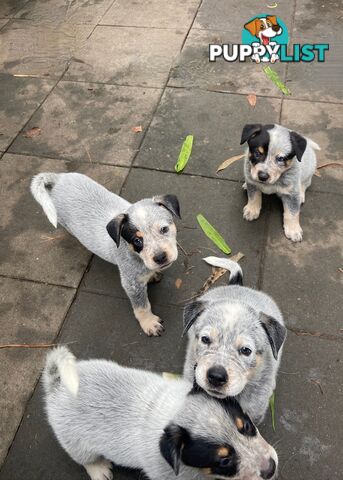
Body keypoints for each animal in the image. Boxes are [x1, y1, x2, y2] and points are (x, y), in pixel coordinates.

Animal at [31, 173, 181, 338]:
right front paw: (149, 323)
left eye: (164, 229)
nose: (160, 258)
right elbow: (142, 306)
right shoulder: (131, 283)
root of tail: (59, 178)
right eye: (137, 240)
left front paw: (153, 275)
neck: (135, 255)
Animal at [43, 346, 280, 480]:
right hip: (75, 442)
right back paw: (99, 470)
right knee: (85, 459)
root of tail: (57, 384)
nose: (271, 469)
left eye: (246, 426)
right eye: (223, 461)